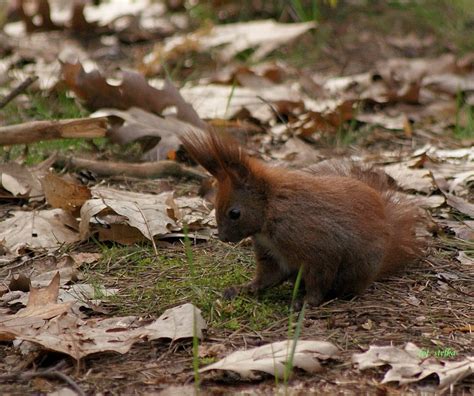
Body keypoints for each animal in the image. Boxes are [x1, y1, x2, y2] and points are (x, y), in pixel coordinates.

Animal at [181, 131, 426, 304]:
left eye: (234, 213)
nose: (222, 237)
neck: (270, 210)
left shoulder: (315, 246)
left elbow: (318, 278)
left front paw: (308, 303)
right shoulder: (271, 252)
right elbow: (267, 276)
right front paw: (243, 289)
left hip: (358, 265)